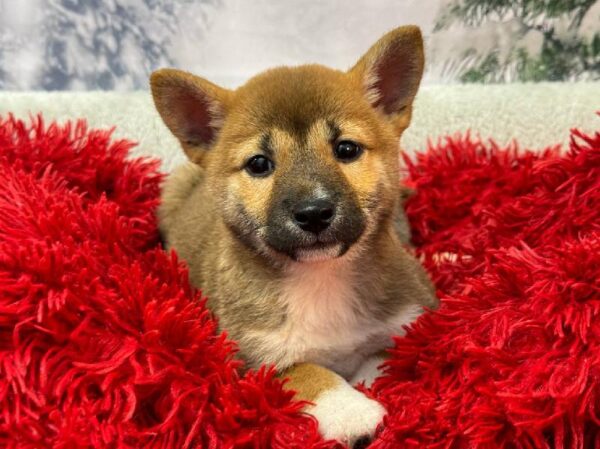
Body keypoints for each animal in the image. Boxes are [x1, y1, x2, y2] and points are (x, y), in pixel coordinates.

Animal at [151, 26, 436, 446]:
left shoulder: (409, 324)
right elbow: (306, 369)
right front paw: (350, 411)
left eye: (346, 148)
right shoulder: (250, 360)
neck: (322, 280)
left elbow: (381, 359)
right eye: (259, 164)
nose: (314, 213)